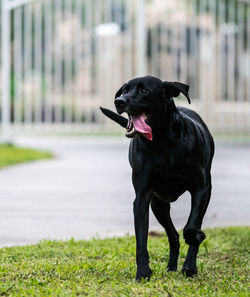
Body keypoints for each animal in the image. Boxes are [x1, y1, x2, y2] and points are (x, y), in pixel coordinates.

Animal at [100, 75, 214, 278]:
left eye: (144, 90)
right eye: (124, 90)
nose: (119, 101)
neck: (162, 142)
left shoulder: (201, 190)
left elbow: (191, 228)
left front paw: (198, 238)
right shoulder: (142, 197)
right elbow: (141, 239)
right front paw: (143, 272)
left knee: (188, 228)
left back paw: (189, 266)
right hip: (158, 205)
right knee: (173, 235)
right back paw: (172, 266)